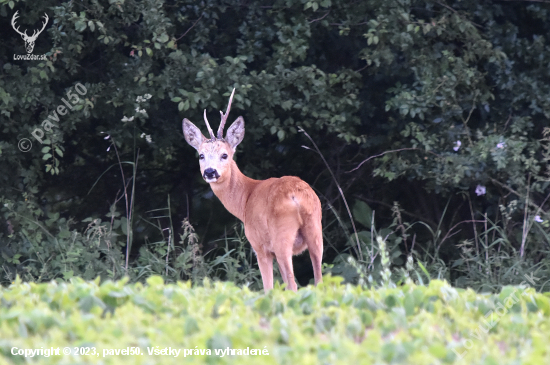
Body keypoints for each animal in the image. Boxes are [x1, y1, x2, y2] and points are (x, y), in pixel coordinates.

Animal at [183, 89, 324, 292]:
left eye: (224, 155)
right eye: (201, 155)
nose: (210, 172)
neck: (246, 199)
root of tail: (297, 196)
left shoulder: (260, 246)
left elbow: (268, 288)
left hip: (282, 238)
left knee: (292, 284)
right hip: (315, 230)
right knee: (320, 280)